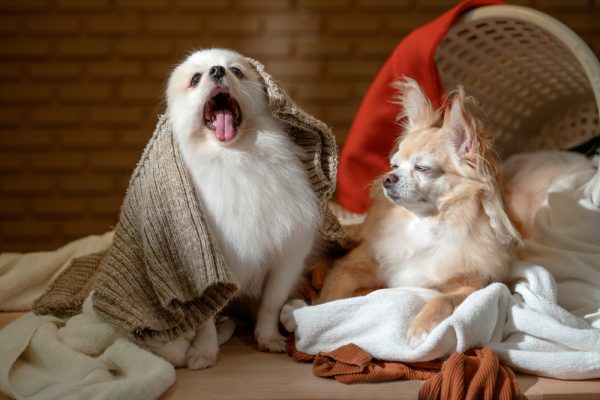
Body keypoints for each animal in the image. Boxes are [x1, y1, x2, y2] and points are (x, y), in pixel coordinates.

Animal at [161, 49, 318, 368]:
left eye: (236, 71)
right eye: (195, 79)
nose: (217, 70)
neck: (233, 158)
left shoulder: (288, 255)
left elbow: (271, 303)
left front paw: (268, 338)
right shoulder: (202, 273)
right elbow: (205, 318)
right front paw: (204, 352)